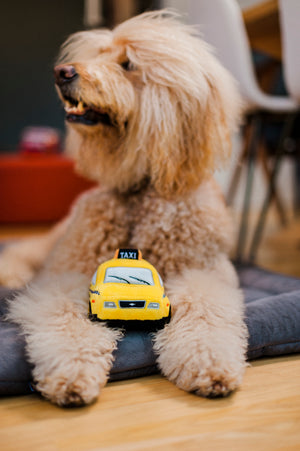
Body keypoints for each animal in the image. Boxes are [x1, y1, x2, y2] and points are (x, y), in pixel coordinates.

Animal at [0, 11, 247, 406]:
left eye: (127, 64)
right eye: (98, 54)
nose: (62, 72)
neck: (138, 193)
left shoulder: (203, 273)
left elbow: (205, 312)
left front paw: (209, 364)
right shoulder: (66, 275)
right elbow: (67, 319)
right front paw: (72, 372)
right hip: (55, 240)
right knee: (22, 250)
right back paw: (12, 273)